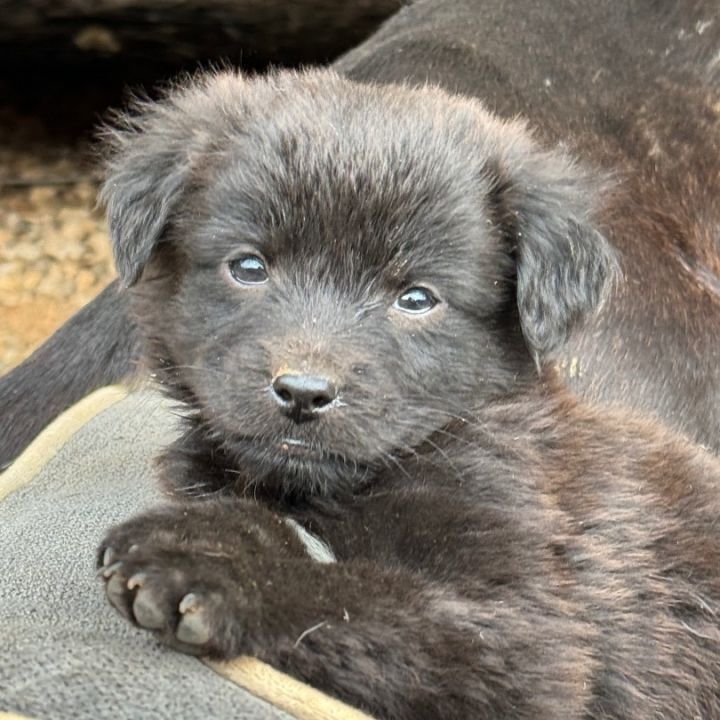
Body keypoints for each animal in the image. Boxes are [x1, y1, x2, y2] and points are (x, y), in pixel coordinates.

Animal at [98, 71, 720, 720]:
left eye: (417, 299)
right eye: (248, 266)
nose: (303, 393)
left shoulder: (528, 636)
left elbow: (356, 595)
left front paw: (214, 561)